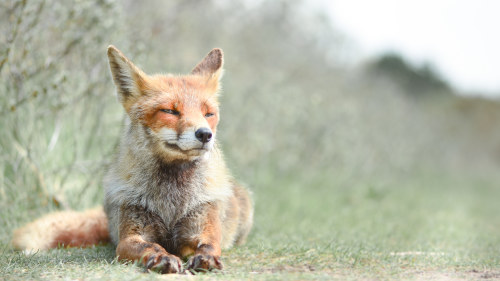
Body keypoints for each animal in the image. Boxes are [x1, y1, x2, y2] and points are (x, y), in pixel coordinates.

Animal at [11, 46, 254, 274]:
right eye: (170, 111)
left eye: (208, 114)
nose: (204, 134)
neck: (171, 199)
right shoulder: (130, 237)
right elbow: (151, 247)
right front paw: (162, 258)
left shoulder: (202, 227)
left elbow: (209, 246)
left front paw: (206, 259)